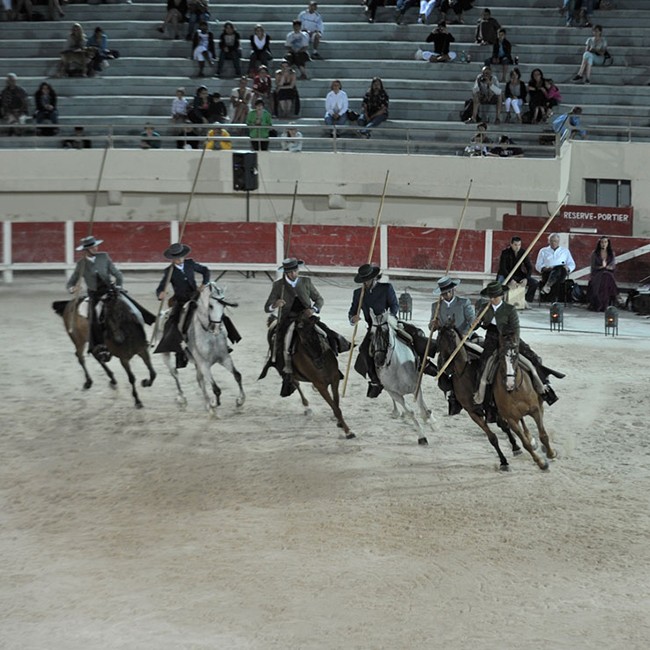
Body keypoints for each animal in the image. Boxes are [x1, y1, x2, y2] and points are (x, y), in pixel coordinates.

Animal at [370, 310, 436, 446]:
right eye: (371, 333)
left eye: (386, 333)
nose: (378, 360)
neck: (396, 368)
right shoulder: (393, 392)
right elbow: (410, 411)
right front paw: (422, 437)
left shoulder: (416, 388)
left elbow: (422, 409)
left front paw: (431, 421)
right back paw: (397, 412)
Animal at [430, 324, 528, 470]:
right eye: (439, 337)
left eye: (452, 336)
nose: (444, 364)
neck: (463, 373)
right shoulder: (473, 412)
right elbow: (493, 436)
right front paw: (504, 460)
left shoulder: (494, 407)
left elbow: (504, 425)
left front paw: (514, 448)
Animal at [494, 332, 556, 468]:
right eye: (500, 358)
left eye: (516, 356)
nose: (509, 384)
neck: (515, 392)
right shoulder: (511, 420)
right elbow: (525, 444)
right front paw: (541, 463)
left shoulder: (535, 410)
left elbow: (543, 435)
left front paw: (551, 453)